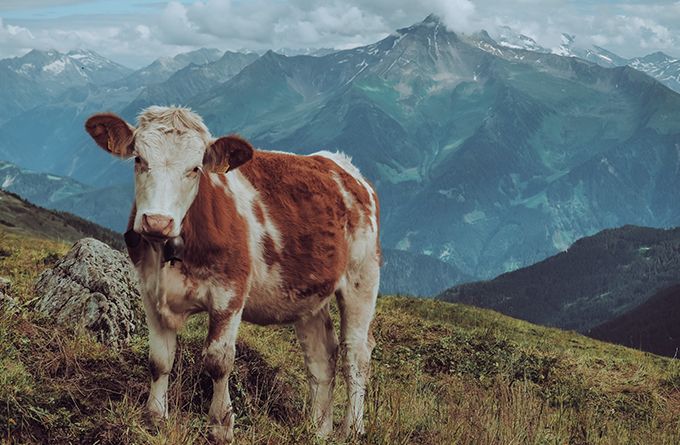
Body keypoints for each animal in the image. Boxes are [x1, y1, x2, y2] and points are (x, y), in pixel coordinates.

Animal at [83, 106, 380, 442]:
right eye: (138, 159)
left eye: (195, 169)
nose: (157, 222)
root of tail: (341, 165)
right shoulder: (150, 292)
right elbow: (159, 360)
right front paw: (155, 417)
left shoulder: (230, 293)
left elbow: (218, 360)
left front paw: (221, 424)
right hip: (309, 295)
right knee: (322, 356)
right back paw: (318, 429)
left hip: (362, 278)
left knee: (355, 354)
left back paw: (352, 429)